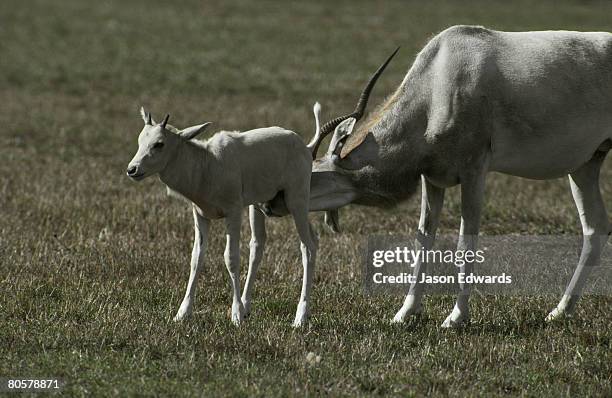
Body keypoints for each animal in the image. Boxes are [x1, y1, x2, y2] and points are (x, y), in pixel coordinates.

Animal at [126, 109, 318, 326]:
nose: (132, 169)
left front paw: (236, 316)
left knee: (308, 247)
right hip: (258, 206)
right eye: (140, 140)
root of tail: (305, 146)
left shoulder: (233, 212)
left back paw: (300, 317)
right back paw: (247, 306)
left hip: (296, 201)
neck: (208, 164)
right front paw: (182, 313)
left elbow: (231, 258)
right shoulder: (200, 216)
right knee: (259, 246)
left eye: (159, 143)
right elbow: (196, 258)